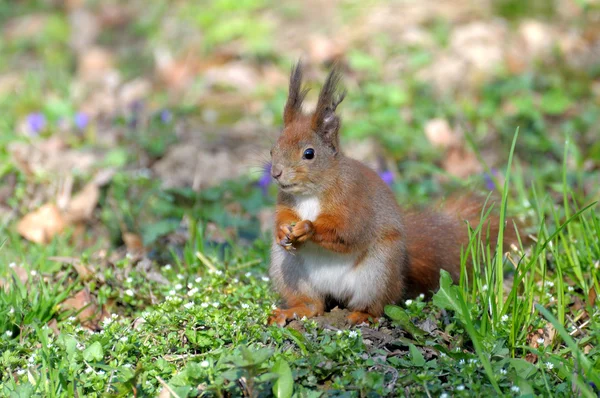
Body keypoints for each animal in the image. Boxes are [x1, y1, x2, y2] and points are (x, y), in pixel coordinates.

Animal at [270, 60, 512, 324]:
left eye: (309, 153)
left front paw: (306, 228)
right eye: (274, 148)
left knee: (377, 304)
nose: (276, 173)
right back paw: (293, 310)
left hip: (379, 270)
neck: (311, 194)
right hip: (288, 268)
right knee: (313, 304)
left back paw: (363, 315)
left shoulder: (354, 200)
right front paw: (283, 229)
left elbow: (347, 231)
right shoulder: (286, 201)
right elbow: (282, 217)